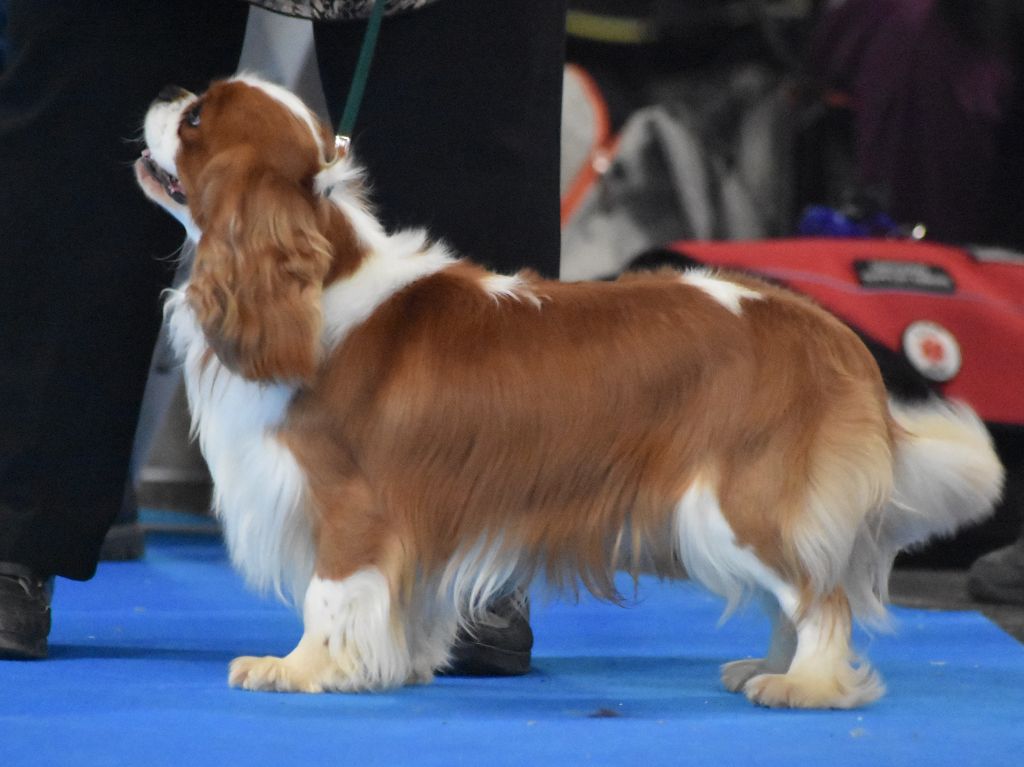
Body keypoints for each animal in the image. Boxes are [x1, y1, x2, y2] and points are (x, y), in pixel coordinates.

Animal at [134, 74, 999, 708]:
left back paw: (805, 684)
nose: (166, 93)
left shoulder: (353, 506)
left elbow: (330, 594)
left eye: (197, 119)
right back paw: (767, 666)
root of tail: (832, 334)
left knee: (822, 597)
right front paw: (397, 663)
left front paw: (302, 667)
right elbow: (403, 604)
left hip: (739, 505)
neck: (314, 287)